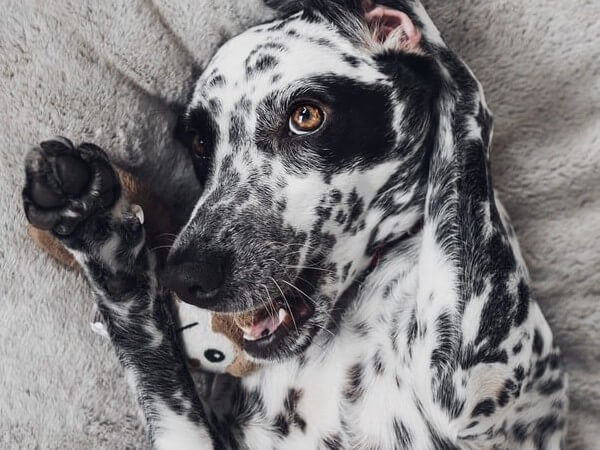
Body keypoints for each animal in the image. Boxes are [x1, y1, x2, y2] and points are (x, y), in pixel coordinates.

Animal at [22, 0, 568, 448]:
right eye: (200, 144)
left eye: (306, 116)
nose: (186, 276)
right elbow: (150, 354)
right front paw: (102, 238)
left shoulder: (476, 378)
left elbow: (463, 103)